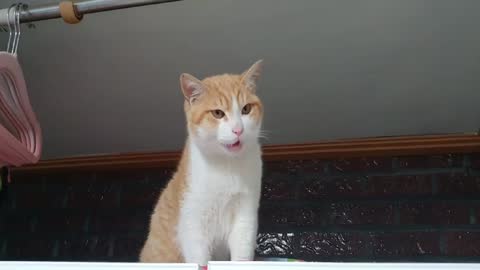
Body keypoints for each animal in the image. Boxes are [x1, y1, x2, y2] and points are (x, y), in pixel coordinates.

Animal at [141, 60, 264, 264]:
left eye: (246, 109)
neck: (226, 165)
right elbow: (199, 258)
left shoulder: (245, 217)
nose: (238, 130)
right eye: (218, 113)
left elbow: (242, 253)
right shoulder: (193, 224)